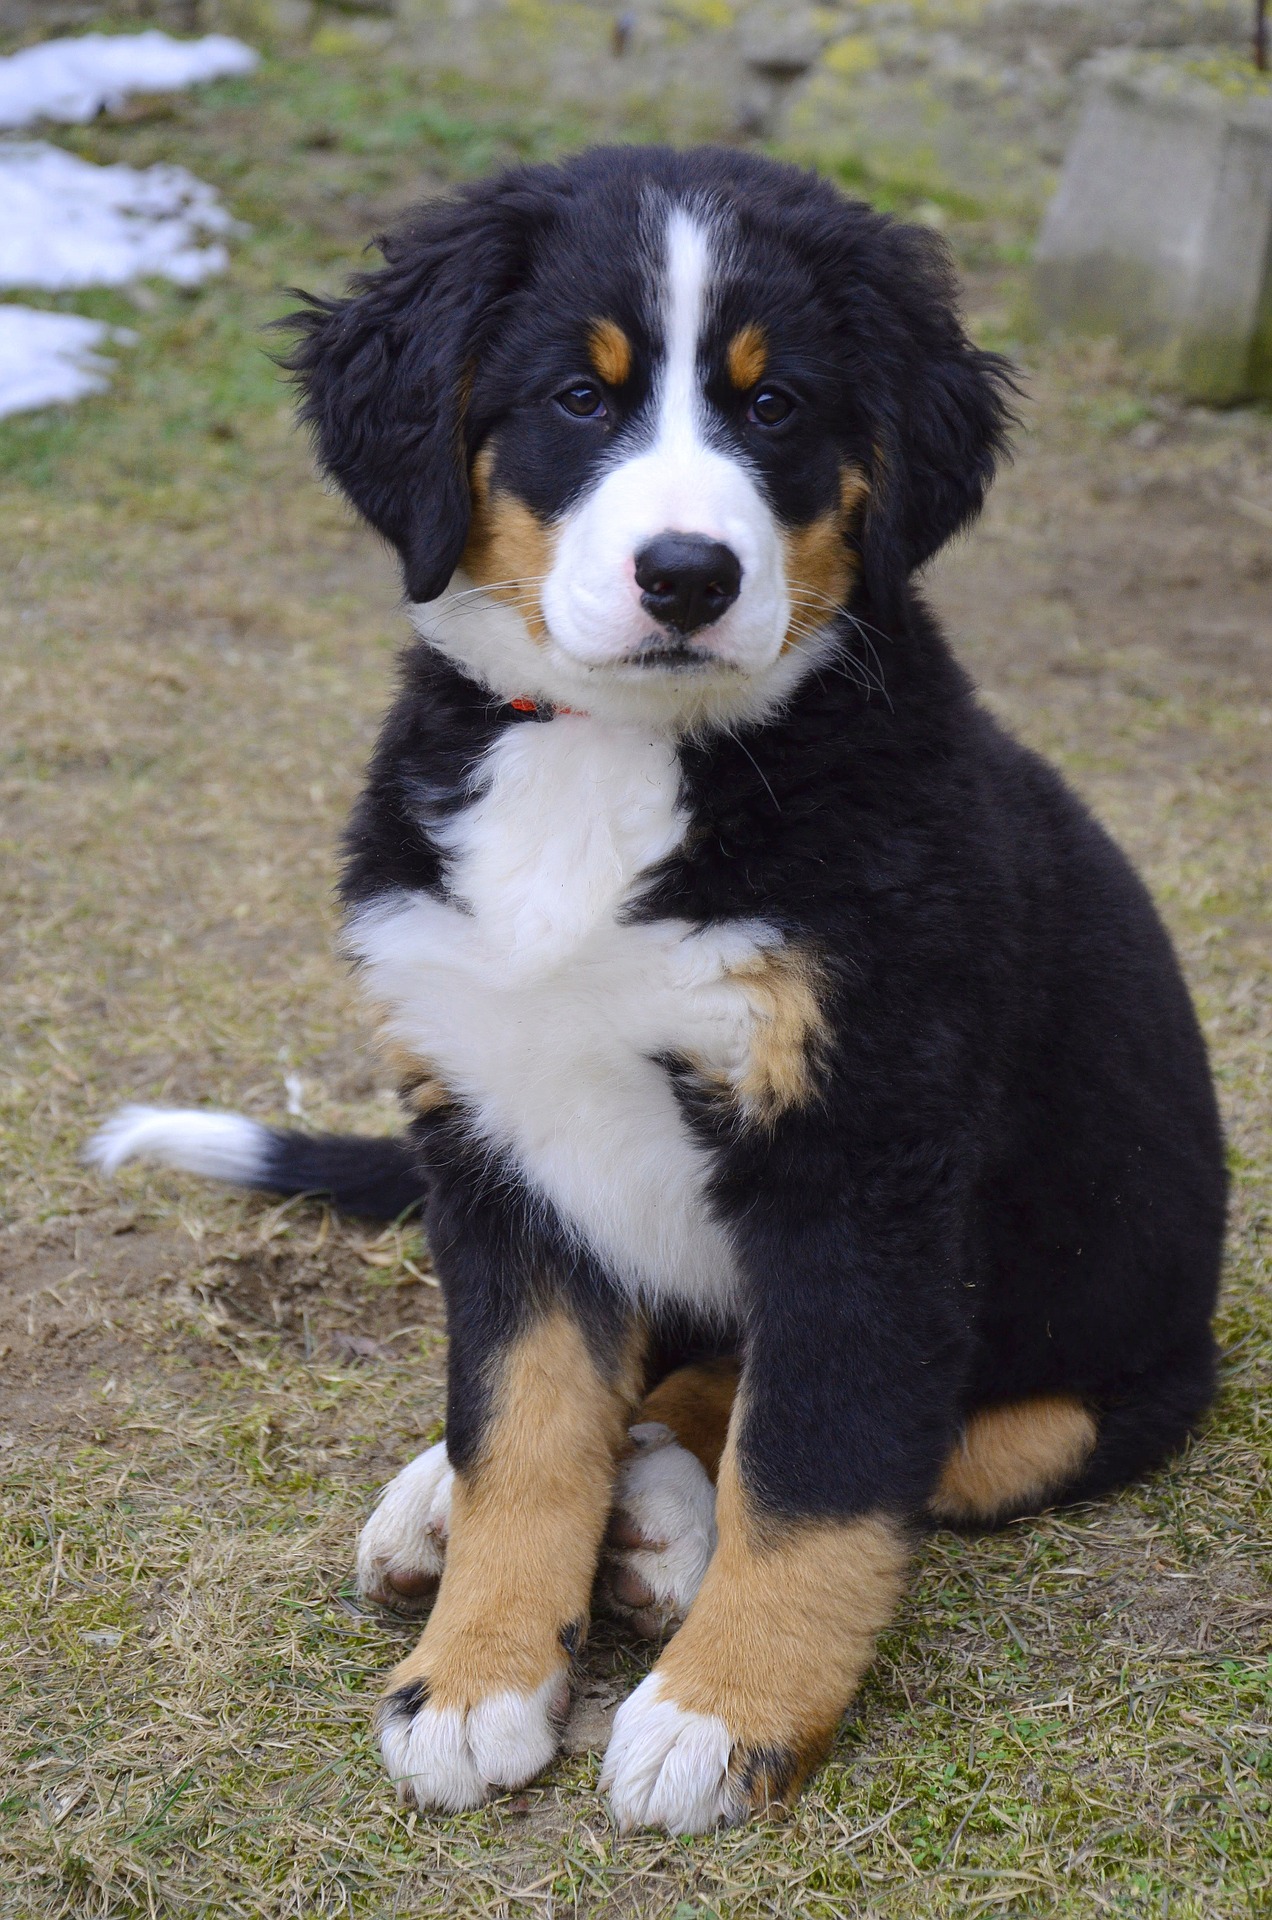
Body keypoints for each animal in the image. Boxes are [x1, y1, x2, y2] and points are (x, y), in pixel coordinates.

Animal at [94, 145, 1229, 1827]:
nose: (690, 576)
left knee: (798, 1406)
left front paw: (723, 1717)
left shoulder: (858, 1161)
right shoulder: (494, 1139)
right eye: (579, 395)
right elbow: (519, 1424)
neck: (611, 754)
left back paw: (665, 1531)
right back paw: (465, 1510)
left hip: (1090, 1389)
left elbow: (813, 1463)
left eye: (778, 407)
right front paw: (475, 1677)